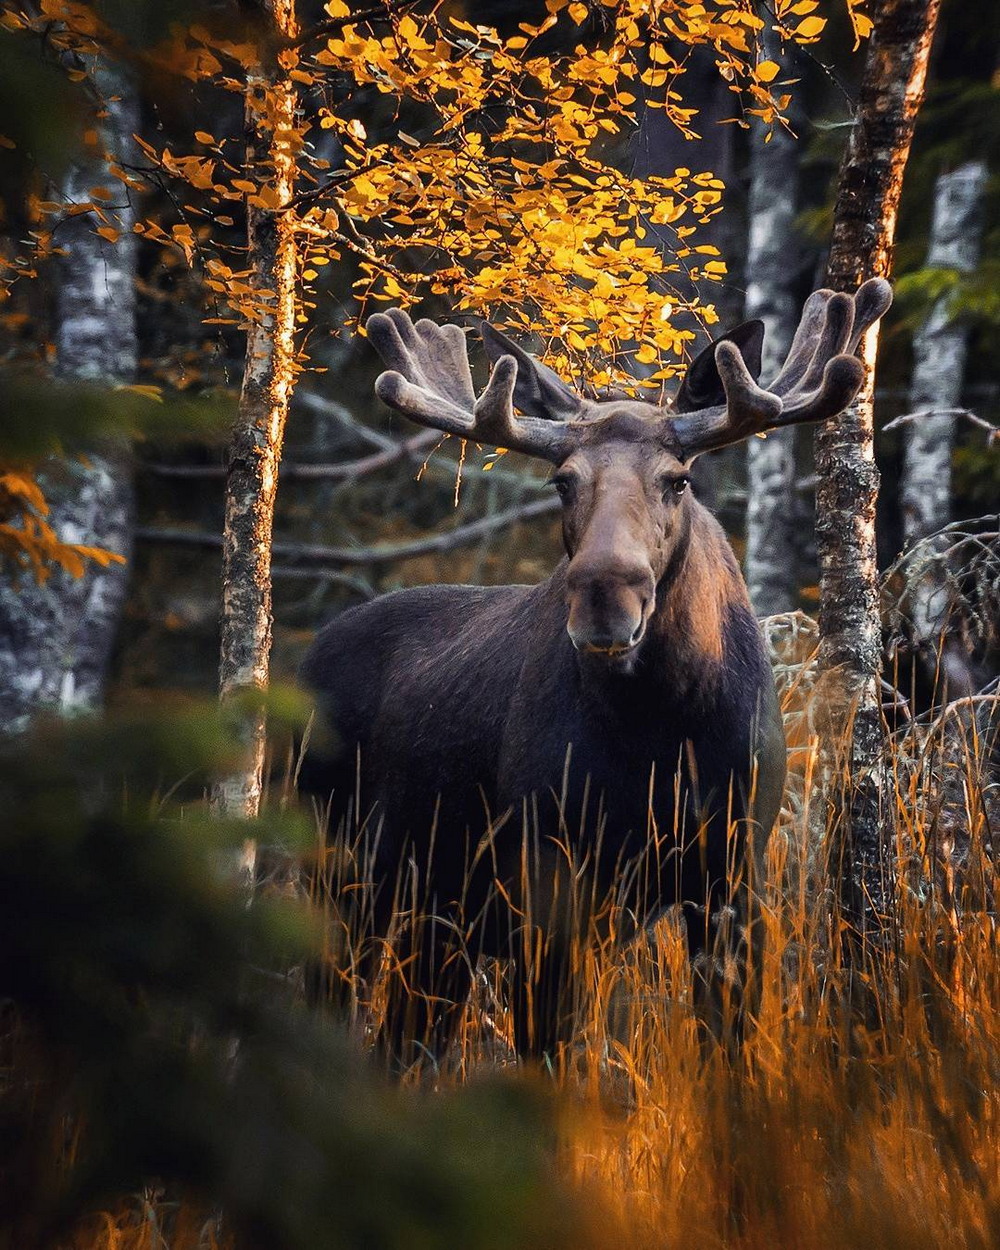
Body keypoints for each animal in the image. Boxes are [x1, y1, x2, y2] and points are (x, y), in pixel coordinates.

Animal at [297, 281, 890, 1065]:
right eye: (561, 480)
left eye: (677, 479)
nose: (606, 597)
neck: (658, 730)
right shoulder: (548, 868)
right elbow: (551, 1052)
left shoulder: (734, 867)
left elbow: (726, 1049)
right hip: (338, 867)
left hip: (437, 914)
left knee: (405, 1038)